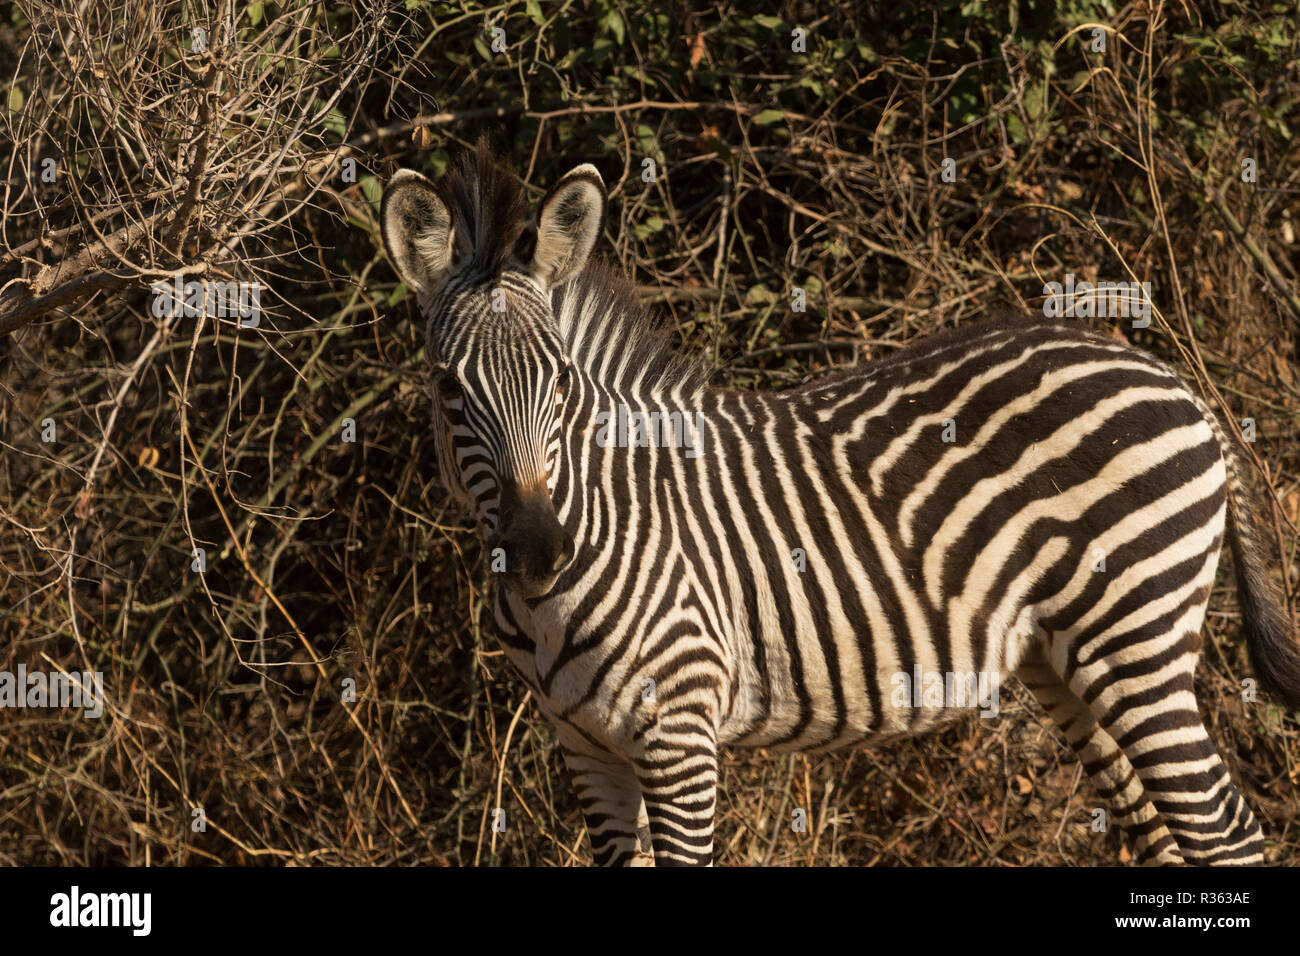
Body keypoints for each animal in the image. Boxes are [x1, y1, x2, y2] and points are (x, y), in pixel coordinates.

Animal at [379, 141, 1300, 868]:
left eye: (564, 386)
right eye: (448, 388)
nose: (537, 552)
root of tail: (1174, 379)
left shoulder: (679, 732)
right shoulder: (588, 750)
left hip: (1137, 637)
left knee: (1226, 833)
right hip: (1073, 659)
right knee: (1166, 836)